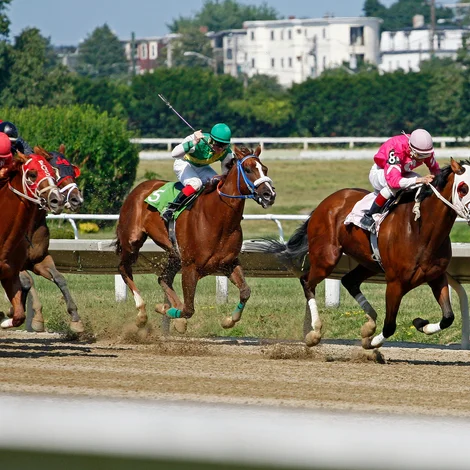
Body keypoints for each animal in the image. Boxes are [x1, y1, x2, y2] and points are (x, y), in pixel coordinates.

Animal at [0, 150, 64, 326]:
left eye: (53, 173)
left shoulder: (10, 274)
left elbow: (19, 316)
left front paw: (5, 320)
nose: (57, 200)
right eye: (32, 174)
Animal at [17, 145, 84, 332]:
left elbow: (59, 278)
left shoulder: (38, 259)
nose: (77, 199)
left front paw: (75, 319)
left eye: (73, 171)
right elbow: (27, 281)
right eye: (56, 171)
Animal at [114, 145, 276, 332]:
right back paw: (141, 313)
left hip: (175, 253)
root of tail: (140, 188)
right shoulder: (190, 267)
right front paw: (167, 311)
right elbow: (188, 309)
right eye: (248, 170)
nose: (269, 194)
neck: (218, 219)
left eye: (265, 169)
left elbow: (245, 291)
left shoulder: (228, 263)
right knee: (124, 268)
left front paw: (228, 320)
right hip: (132, 240)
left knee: (163, 278)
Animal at [260, 158, 470, 348]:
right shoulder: (395, 283)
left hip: (370, 263)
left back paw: (369, 323)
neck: (421, 230)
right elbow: (390, 326)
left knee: (349, 281)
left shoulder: (437, 276)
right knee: (307, 282)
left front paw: (421, 324)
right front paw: (371, 343)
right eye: (463, 188)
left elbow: (448, 317)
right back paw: (314, 332)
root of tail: (325, 203)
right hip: (327, 258)